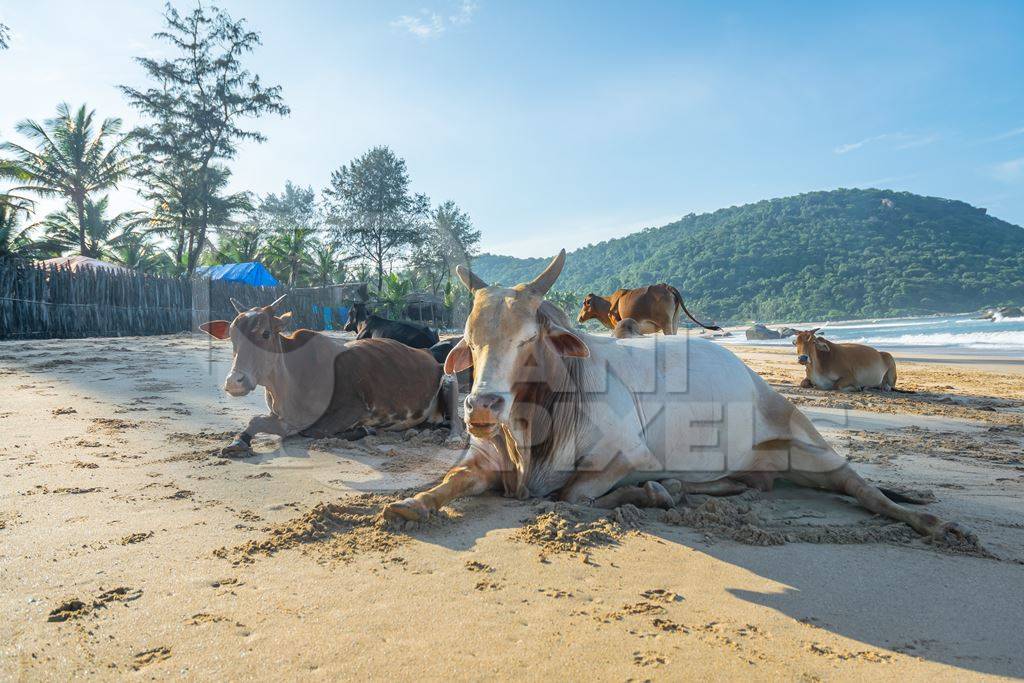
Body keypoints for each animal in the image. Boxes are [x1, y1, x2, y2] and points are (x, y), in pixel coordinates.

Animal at [201, 294, 458, 454]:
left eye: (265, 333)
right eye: (232, 337)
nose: (235, 382)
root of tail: (428, 353)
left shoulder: (355, 408)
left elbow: (314, 431)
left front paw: (363, 430)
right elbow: (255, 421)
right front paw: (238, 441)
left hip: (449, 380)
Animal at [577, 282, 720, 335]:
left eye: (584, 303)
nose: (578, 317)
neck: (609, 303)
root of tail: (666, 286)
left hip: (665, 323)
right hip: (675, 321)